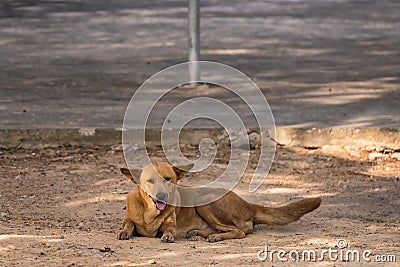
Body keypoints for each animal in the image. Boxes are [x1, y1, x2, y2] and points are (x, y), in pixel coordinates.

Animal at [116, 162, 322, 244]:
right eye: (150, 181)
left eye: (168, 179)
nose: (161, 196)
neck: (150, 212)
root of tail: (248, 204)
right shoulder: (128, 219)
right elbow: (128, 224)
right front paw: (125, 232)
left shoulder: (170, 225)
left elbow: (168, 230)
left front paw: (167, 236)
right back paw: (200, 233)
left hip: (204, 202)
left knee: (240, 232)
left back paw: (215, 237)